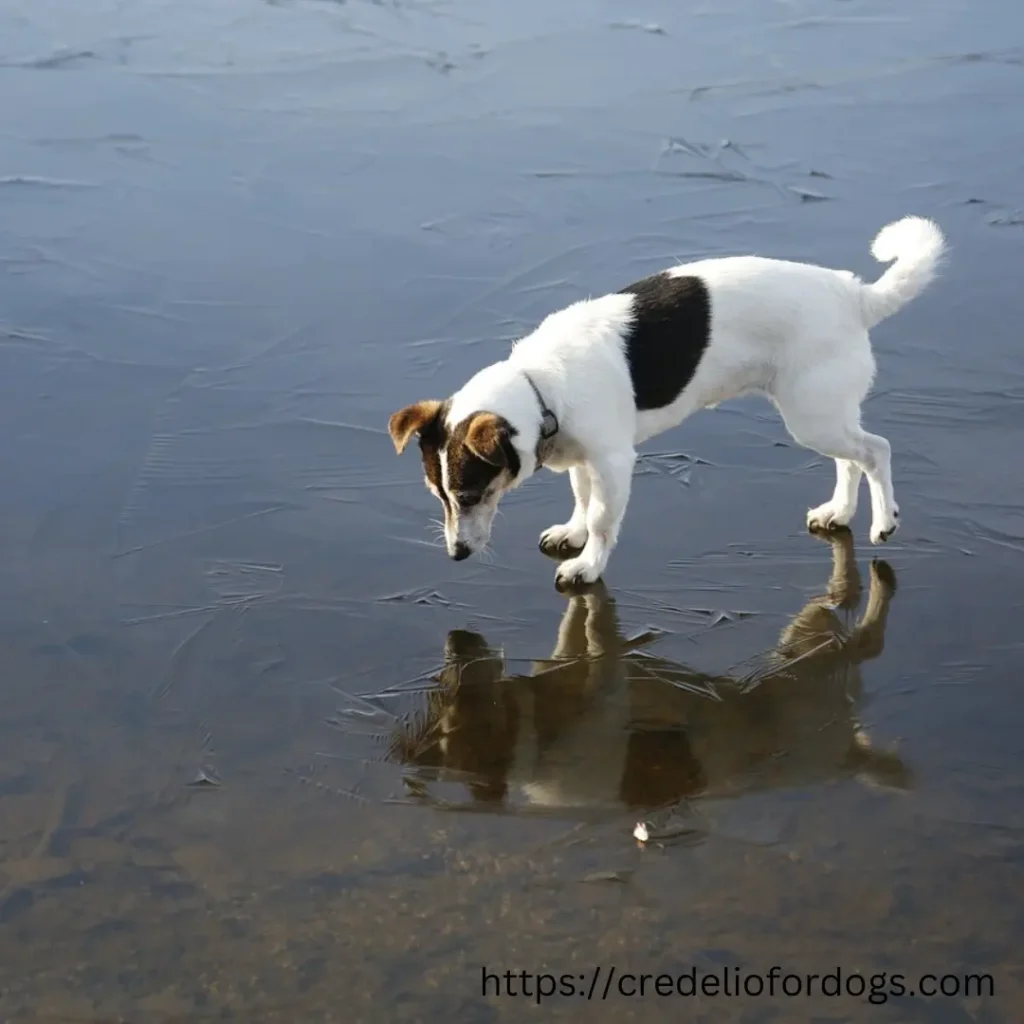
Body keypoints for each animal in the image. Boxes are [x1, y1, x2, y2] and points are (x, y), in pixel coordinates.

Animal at [387, 532, 909, 811]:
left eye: (456, 709)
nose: (456, 645)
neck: (536, 738)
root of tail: (846, 758)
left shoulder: (606, 681)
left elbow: (599, 634)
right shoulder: (567, 658)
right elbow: (576, 626)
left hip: (810, 669)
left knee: (868, 641)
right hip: (804, 641)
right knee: (843, 608)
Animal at [389, 217, 942, 589]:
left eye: (469, 495)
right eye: (440, 498)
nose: (456, 555)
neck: (539, 383)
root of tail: (855, 294)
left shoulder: (613, 462)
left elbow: (601, 518)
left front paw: (587, 565)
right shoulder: (584, 459)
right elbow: (581, 500)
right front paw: (571, 534)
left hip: (813, 415)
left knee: (876, 451)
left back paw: (883, 522)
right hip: (824, 412)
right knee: (851, 461)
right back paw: (838, 513)